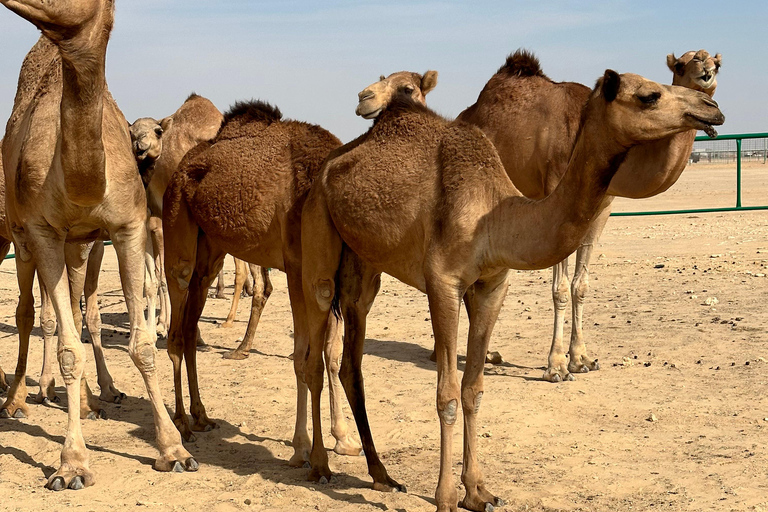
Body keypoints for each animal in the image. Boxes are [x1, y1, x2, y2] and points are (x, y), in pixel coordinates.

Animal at [2, 0, 195, 490]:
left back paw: (92, 398)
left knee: (75, 305)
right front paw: (72, 464)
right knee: (31, 313)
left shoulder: (127, 228)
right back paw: (17, 400)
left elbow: (142, 344)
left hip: (83, 245)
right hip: (21, 239)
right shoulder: (44, 233)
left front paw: (174, 449)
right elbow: (69, 348)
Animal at [161, 98, 364, 462]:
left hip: (209, 254)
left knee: (189, 328)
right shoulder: (297, 269)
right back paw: (182, 424)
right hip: (176, 228)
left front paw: (343, 438)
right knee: (176, 331)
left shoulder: (331, 281)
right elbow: (302, 356)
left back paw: (201, 416)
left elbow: (331, 353)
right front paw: (301, 446)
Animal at [460, 50, 724, 382]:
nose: (712, 106)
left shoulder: (601, 208)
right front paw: (556, 366)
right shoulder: (555, 195)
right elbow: (560, 289)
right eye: (681, 65)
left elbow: (580, 285)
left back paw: (488, 353)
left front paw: (581, 358)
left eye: (718, 63)